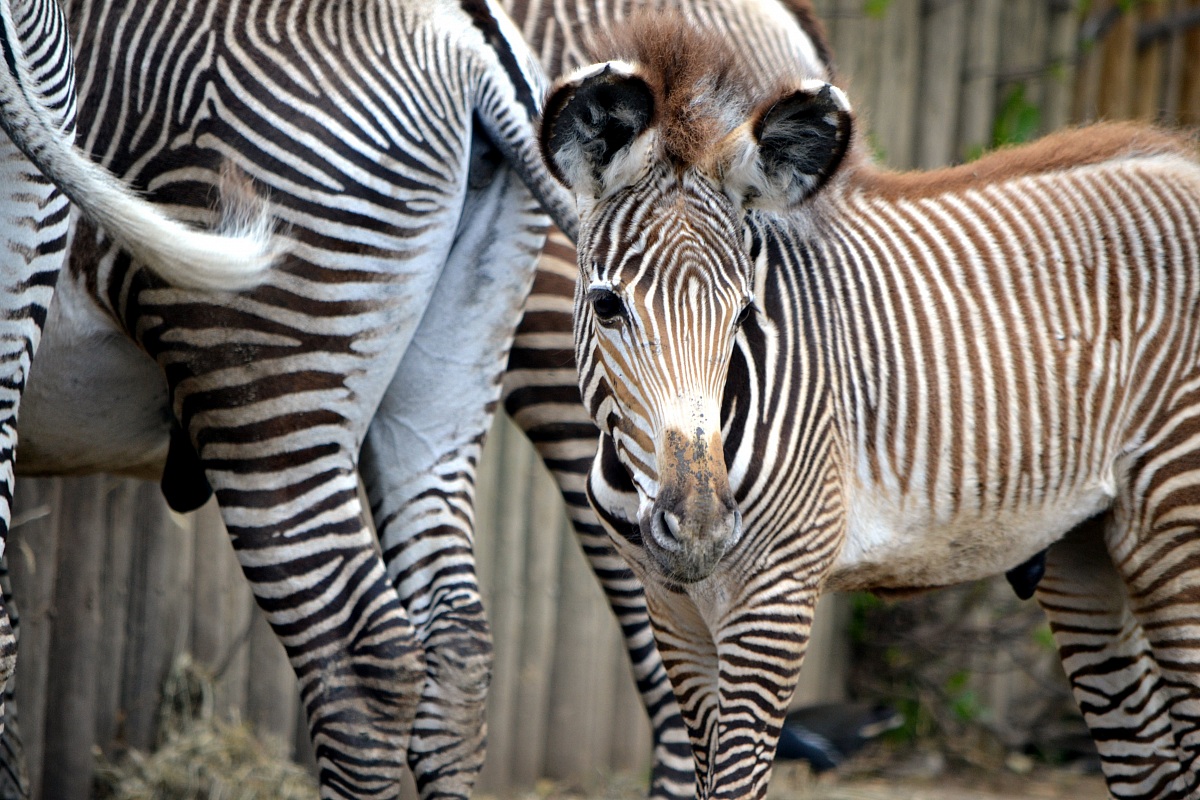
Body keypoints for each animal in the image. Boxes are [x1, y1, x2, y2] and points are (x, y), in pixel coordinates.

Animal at [535, 10, 1200, 800]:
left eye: (743, 314)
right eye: (608, 305)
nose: (699, 528)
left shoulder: (776, 598)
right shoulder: (672, 611)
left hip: (1174, 523)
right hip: (1084, 545)